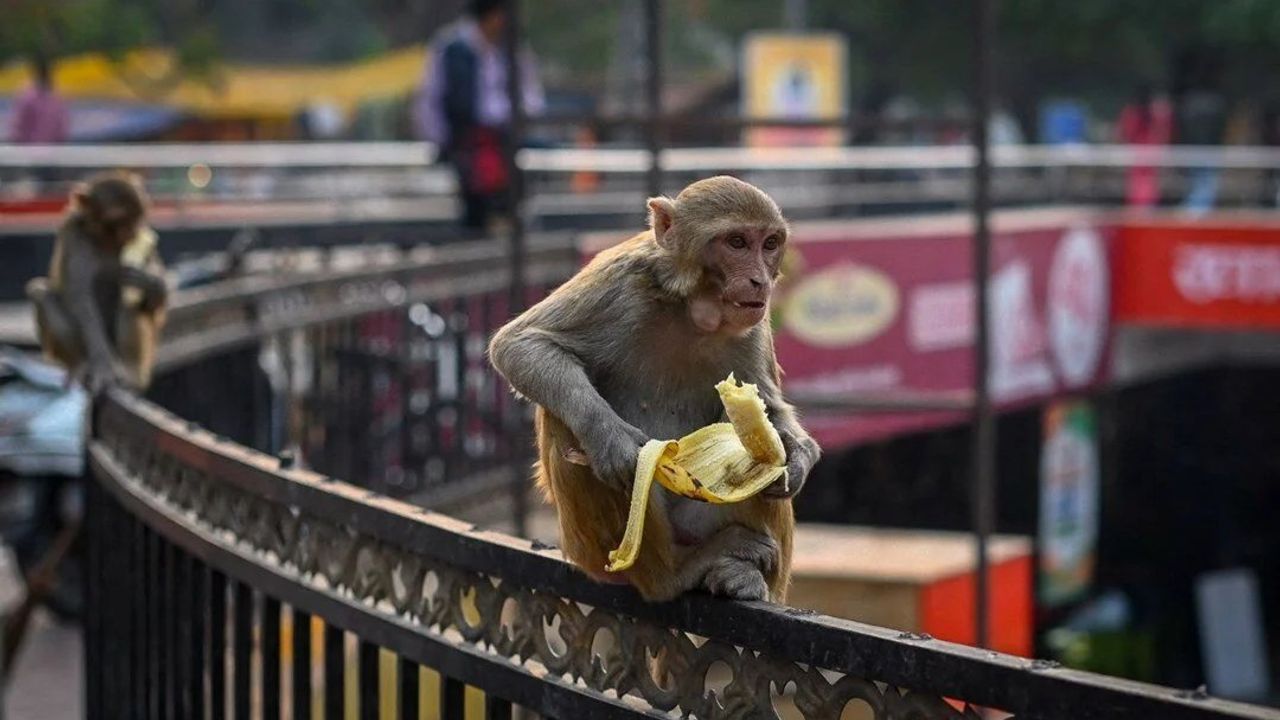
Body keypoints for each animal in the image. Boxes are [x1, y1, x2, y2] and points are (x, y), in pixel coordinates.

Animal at [25, 170, 167, 389]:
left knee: (129, 303)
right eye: (119, 219)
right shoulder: (74, 234)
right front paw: (103, 367)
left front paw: (149, 282)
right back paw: (80, 365)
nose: (133, 231)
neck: (105, 240)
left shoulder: (145, 239)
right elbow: (82, 300)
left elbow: (154, 300)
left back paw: (131, 371)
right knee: (41, 293)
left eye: (138, 215)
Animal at [488, 175, 819, 599]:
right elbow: (520, 344)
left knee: (763, 462)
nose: (760, 280)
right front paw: (611, 440)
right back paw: (673, 574)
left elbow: (770, 413)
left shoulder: (753, 324)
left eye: (770, 244)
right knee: (564, 420)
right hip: (591, 553)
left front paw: (799, 454)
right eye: (737, 242)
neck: (693, 310)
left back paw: (745, 575)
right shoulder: (619, 284)